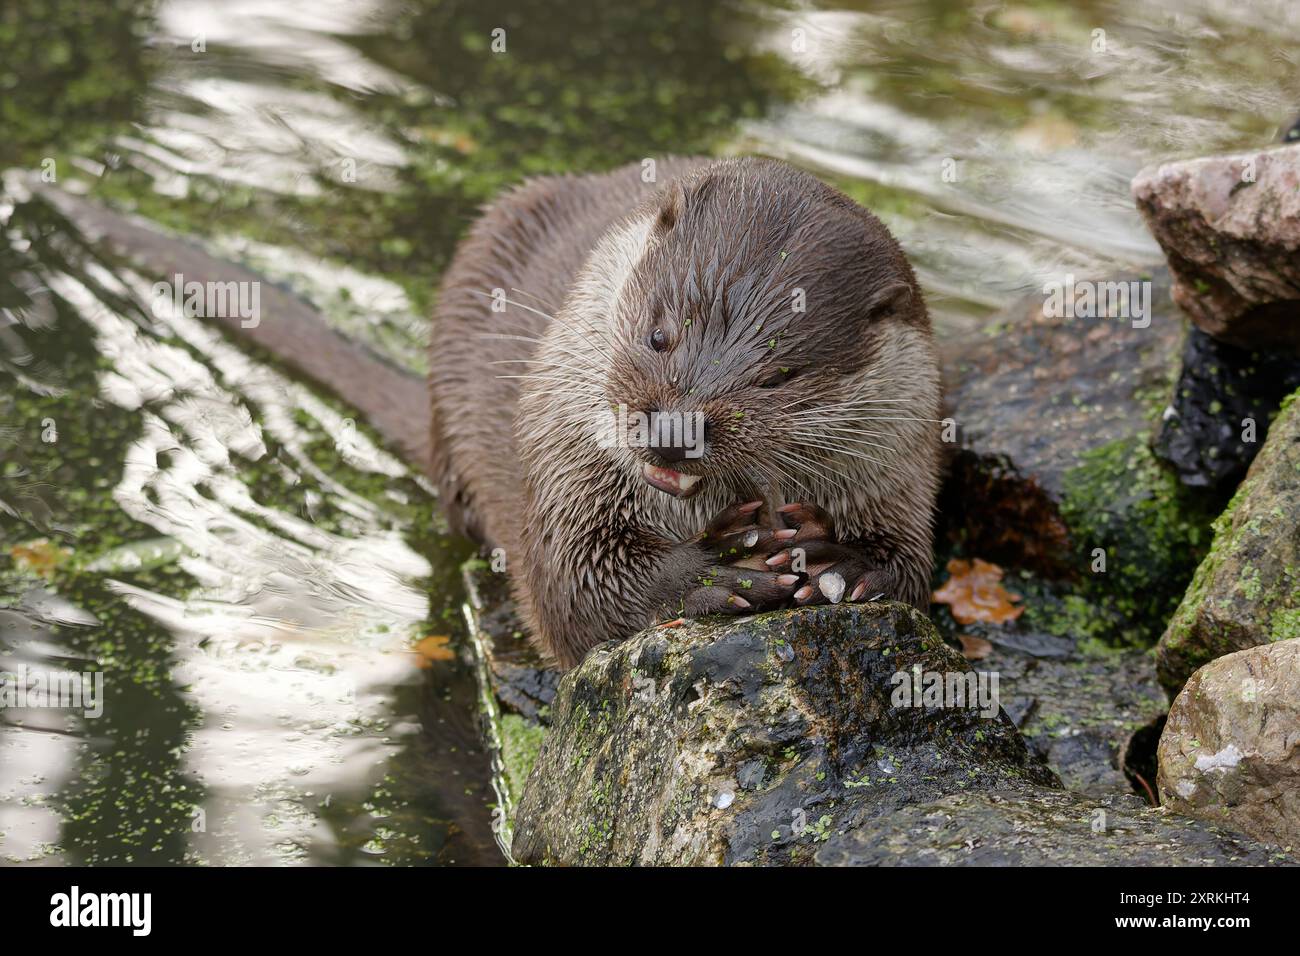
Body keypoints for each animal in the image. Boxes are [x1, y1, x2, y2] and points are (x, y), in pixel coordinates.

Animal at [431, 157, 941, 671]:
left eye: (779, 378)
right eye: (659, 336)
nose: (676, 433)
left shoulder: (897, 467)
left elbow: (912, 570)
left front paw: (839, 560)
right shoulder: (566, 468)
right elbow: (574, 588)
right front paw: (707, 572)